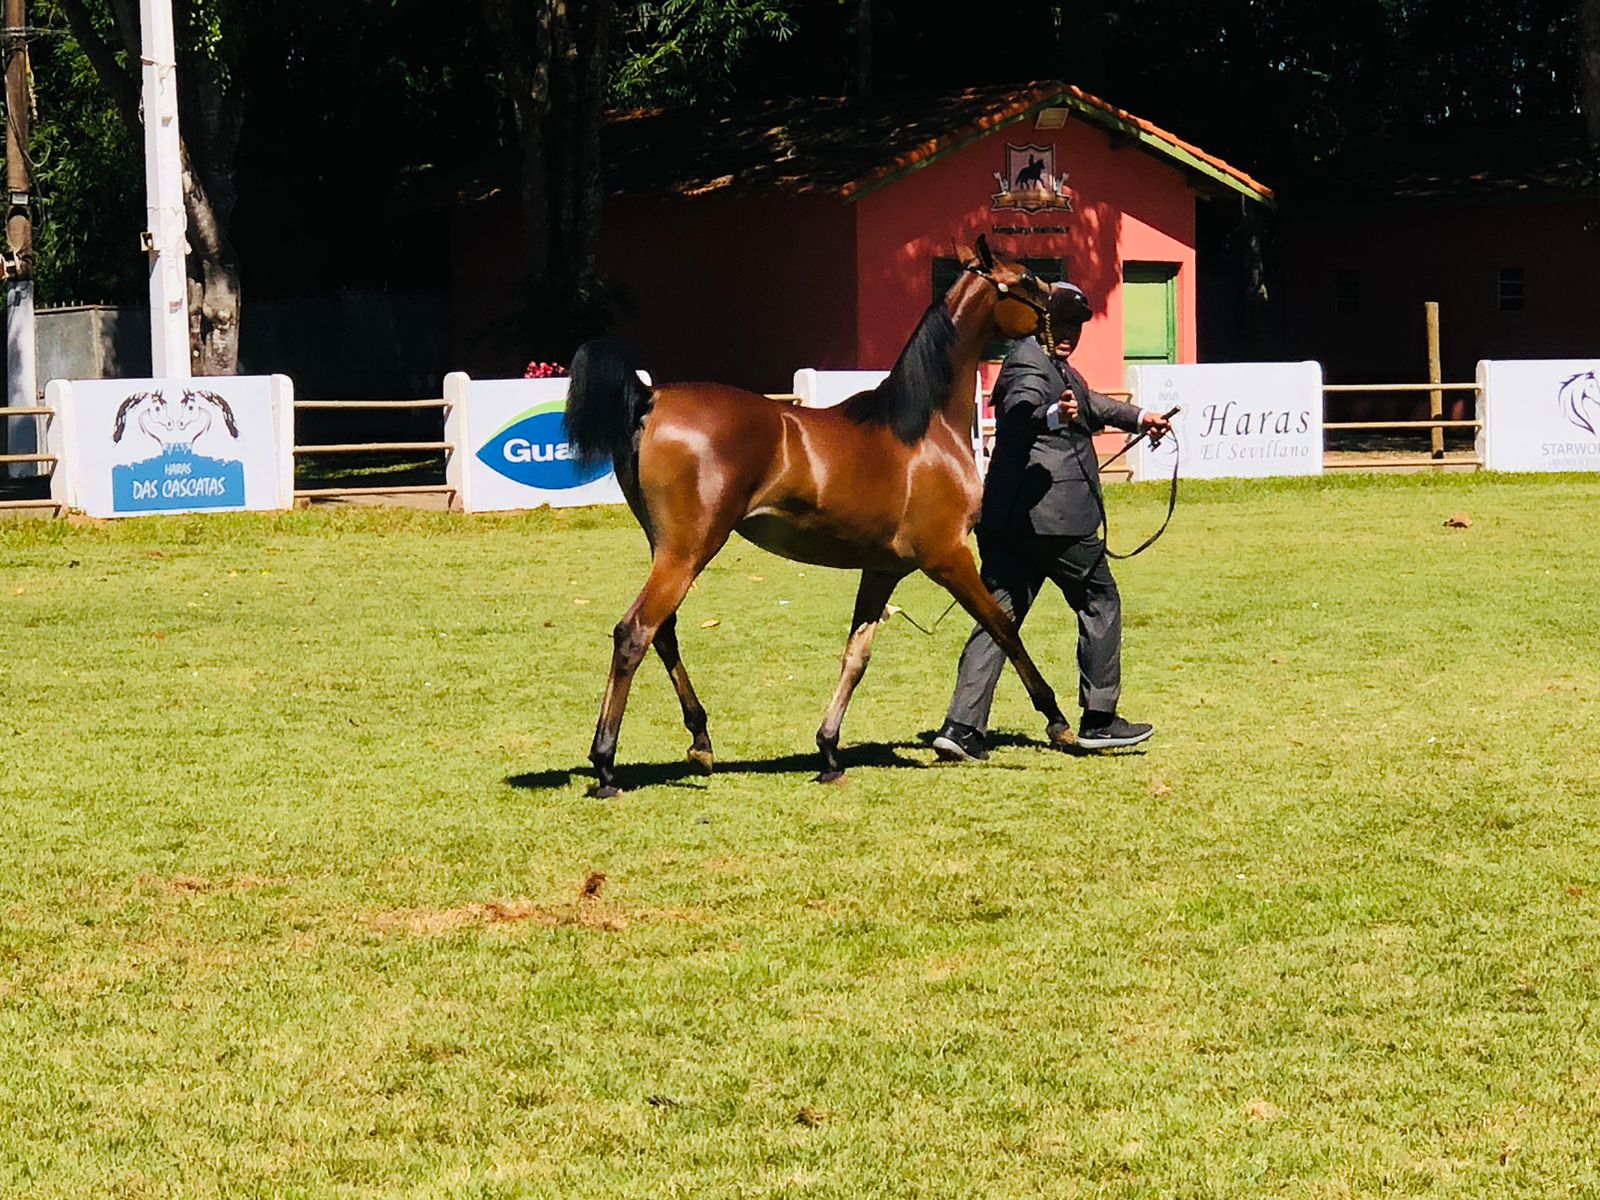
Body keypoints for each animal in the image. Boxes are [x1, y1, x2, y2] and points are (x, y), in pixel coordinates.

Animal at [563, 236, 1076, 797]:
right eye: (1026, 279)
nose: (1078, 304)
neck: (924, 430)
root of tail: (650, 397)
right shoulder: (948, 558)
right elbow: (1003, 626)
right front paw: (1057, 720)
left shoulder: (883, 571)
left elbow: (856, 656)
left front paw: (829, 750)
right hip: (689, 549)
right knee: (634, 632)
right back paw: (606, 764)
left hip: (669, 549)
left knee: (664, 631)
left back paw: (700, 741)